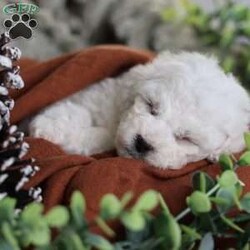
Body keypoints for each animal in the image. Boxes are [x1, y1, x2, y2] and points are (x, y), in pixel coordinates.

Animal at [28, 52, 250, 170]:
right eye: (151, 106)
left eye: (186, 138)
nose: (143, 143)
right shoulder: (98, 94)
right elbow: (79, 109)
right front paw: (50, 126)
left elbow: (102, 136)